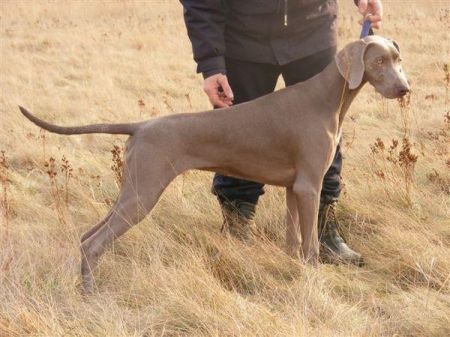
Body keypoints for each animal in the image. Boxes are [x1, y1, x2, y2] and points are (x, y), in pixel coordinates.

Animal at [20, 34, 408, 292]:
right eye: (378, 62)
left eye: (397, 59)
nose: (405, 89)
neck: (326, 97)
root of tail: (141, 125)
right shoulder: (309, 186)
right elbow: (310, 245)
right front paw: (314, 281)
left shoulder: (294, 188)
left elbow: (294, 240)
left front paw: (294, 271)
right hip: (144, 193)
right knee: (95, 242)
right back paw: (90, 293)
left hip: (133, 189)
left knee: (87, 236)